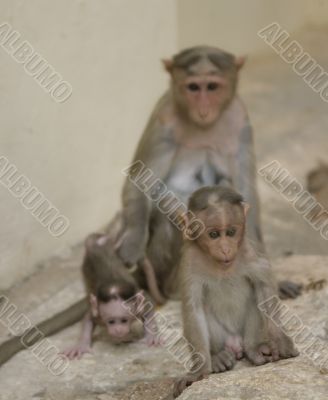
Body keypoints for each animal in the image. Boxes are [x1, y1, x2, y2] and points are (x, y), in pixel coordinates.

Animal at [116, 45, 302, 298]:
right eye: (193, 87)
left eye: (212, 87)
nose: (203, 110)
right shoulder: (163, 117)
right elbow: (141, 181)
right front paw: (133, 241)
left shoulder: (241, 120)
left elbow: (245, 195)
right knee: (170, 213)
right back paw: (176, 286)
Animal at [174, 188, 300, 396]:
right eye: (214, 234)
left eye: (231, 232)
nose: (226, 249)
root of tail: (236, 342)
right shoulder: (189, 261)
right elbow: (193, 308)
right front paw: (200, 370)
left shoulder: (249, 250)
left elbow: (263, 286)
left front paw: (279, 338)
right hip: (222, 336)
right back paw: (217, 356)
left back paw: (254, 349)